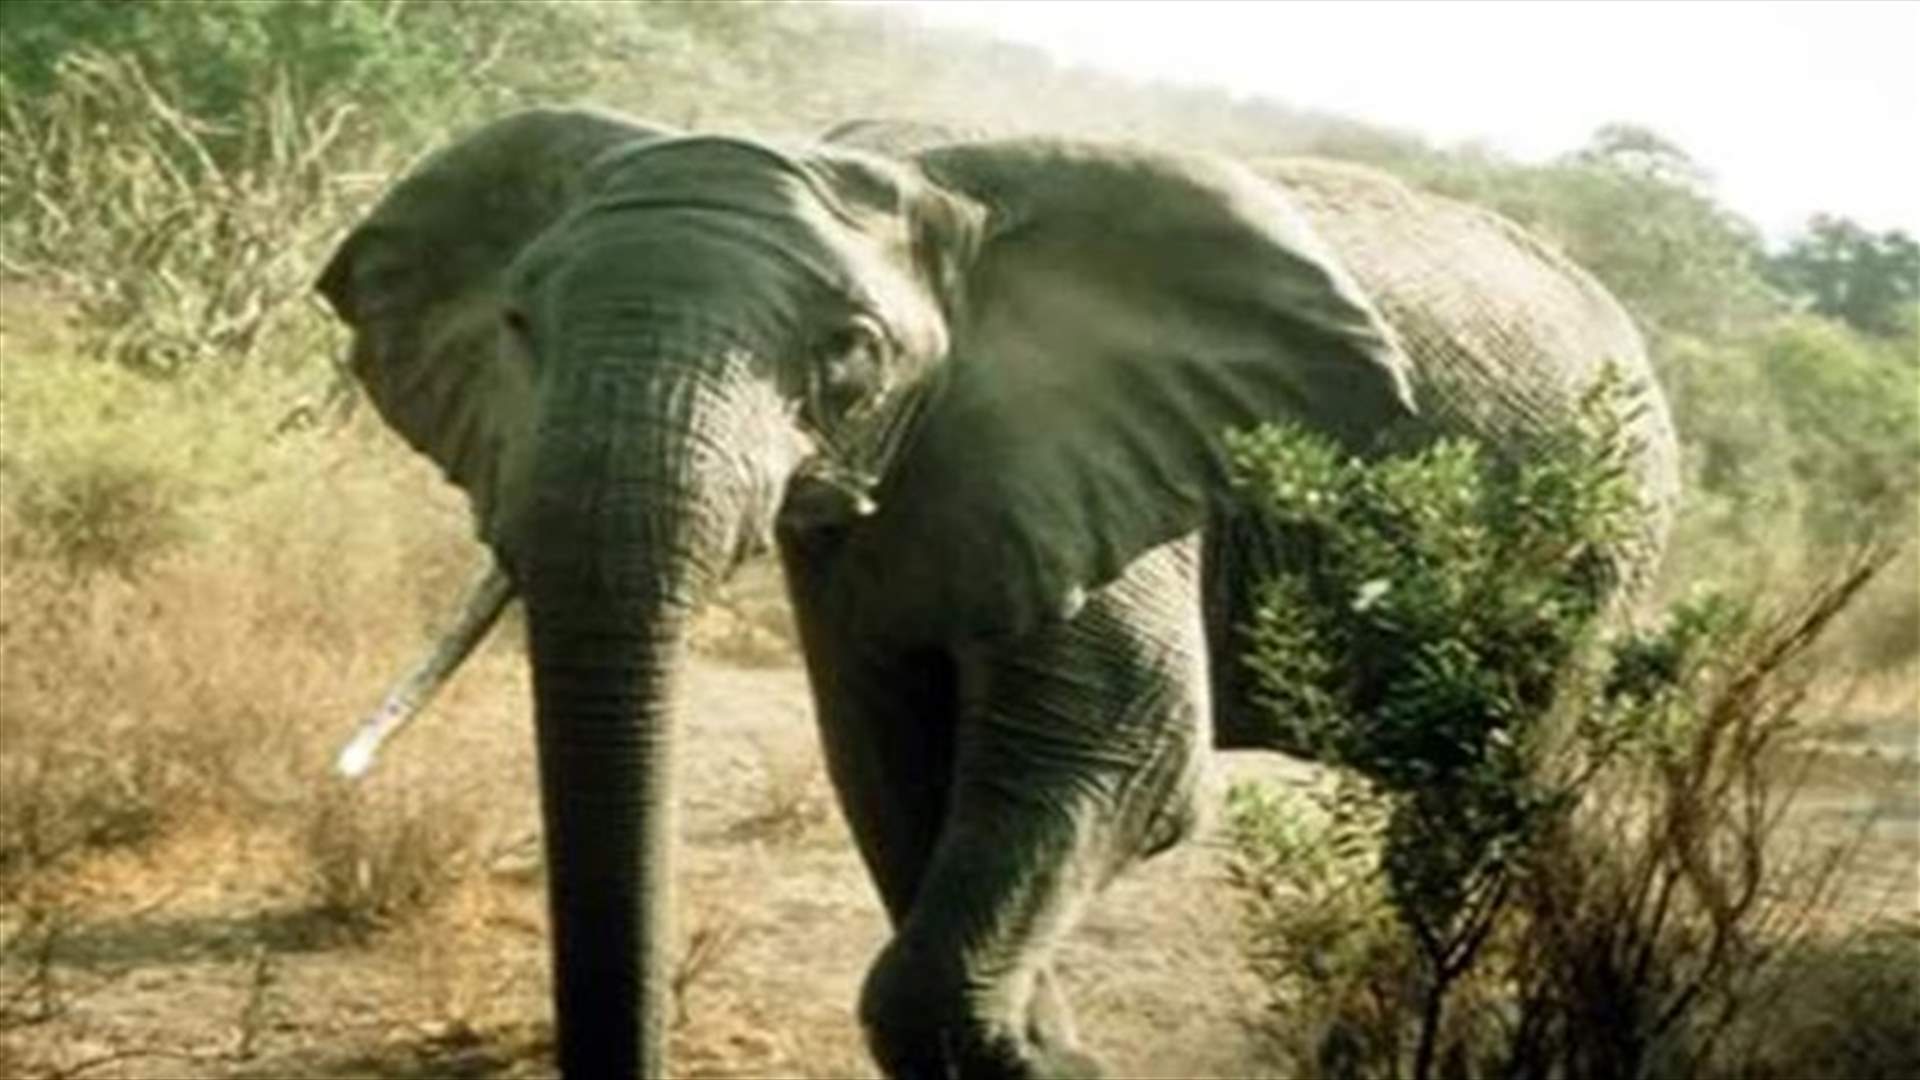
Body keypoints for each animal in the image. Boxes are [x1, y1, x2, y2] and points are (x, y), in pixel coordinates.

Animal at [316, 106, 1678, 1079]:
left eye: (851, 356)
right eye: (516, 327)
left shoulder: (1112, 449)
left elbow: (1128, 752)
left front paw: (1052, 1062)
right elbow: (886, 755)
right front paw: (1039, 1045)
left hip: (1605, 535)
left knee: (1468, 807)